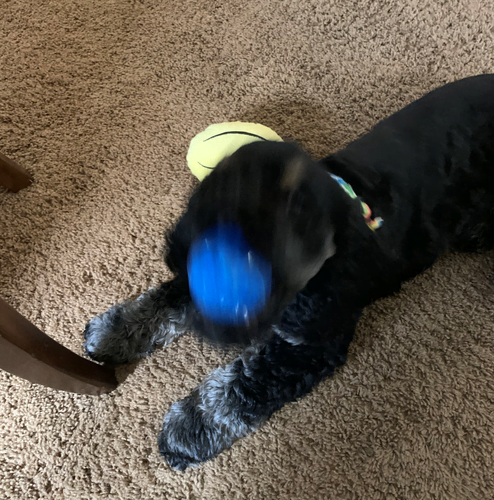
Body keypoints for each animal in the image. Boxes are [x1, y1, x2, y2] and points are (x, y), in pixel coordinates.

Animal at [83, 72, 494, 470]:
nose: (176, 250)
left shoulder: (307, 345)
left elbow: (239, 387)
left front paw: (187, 429)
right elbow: (165, 300)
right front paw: (114, 331)